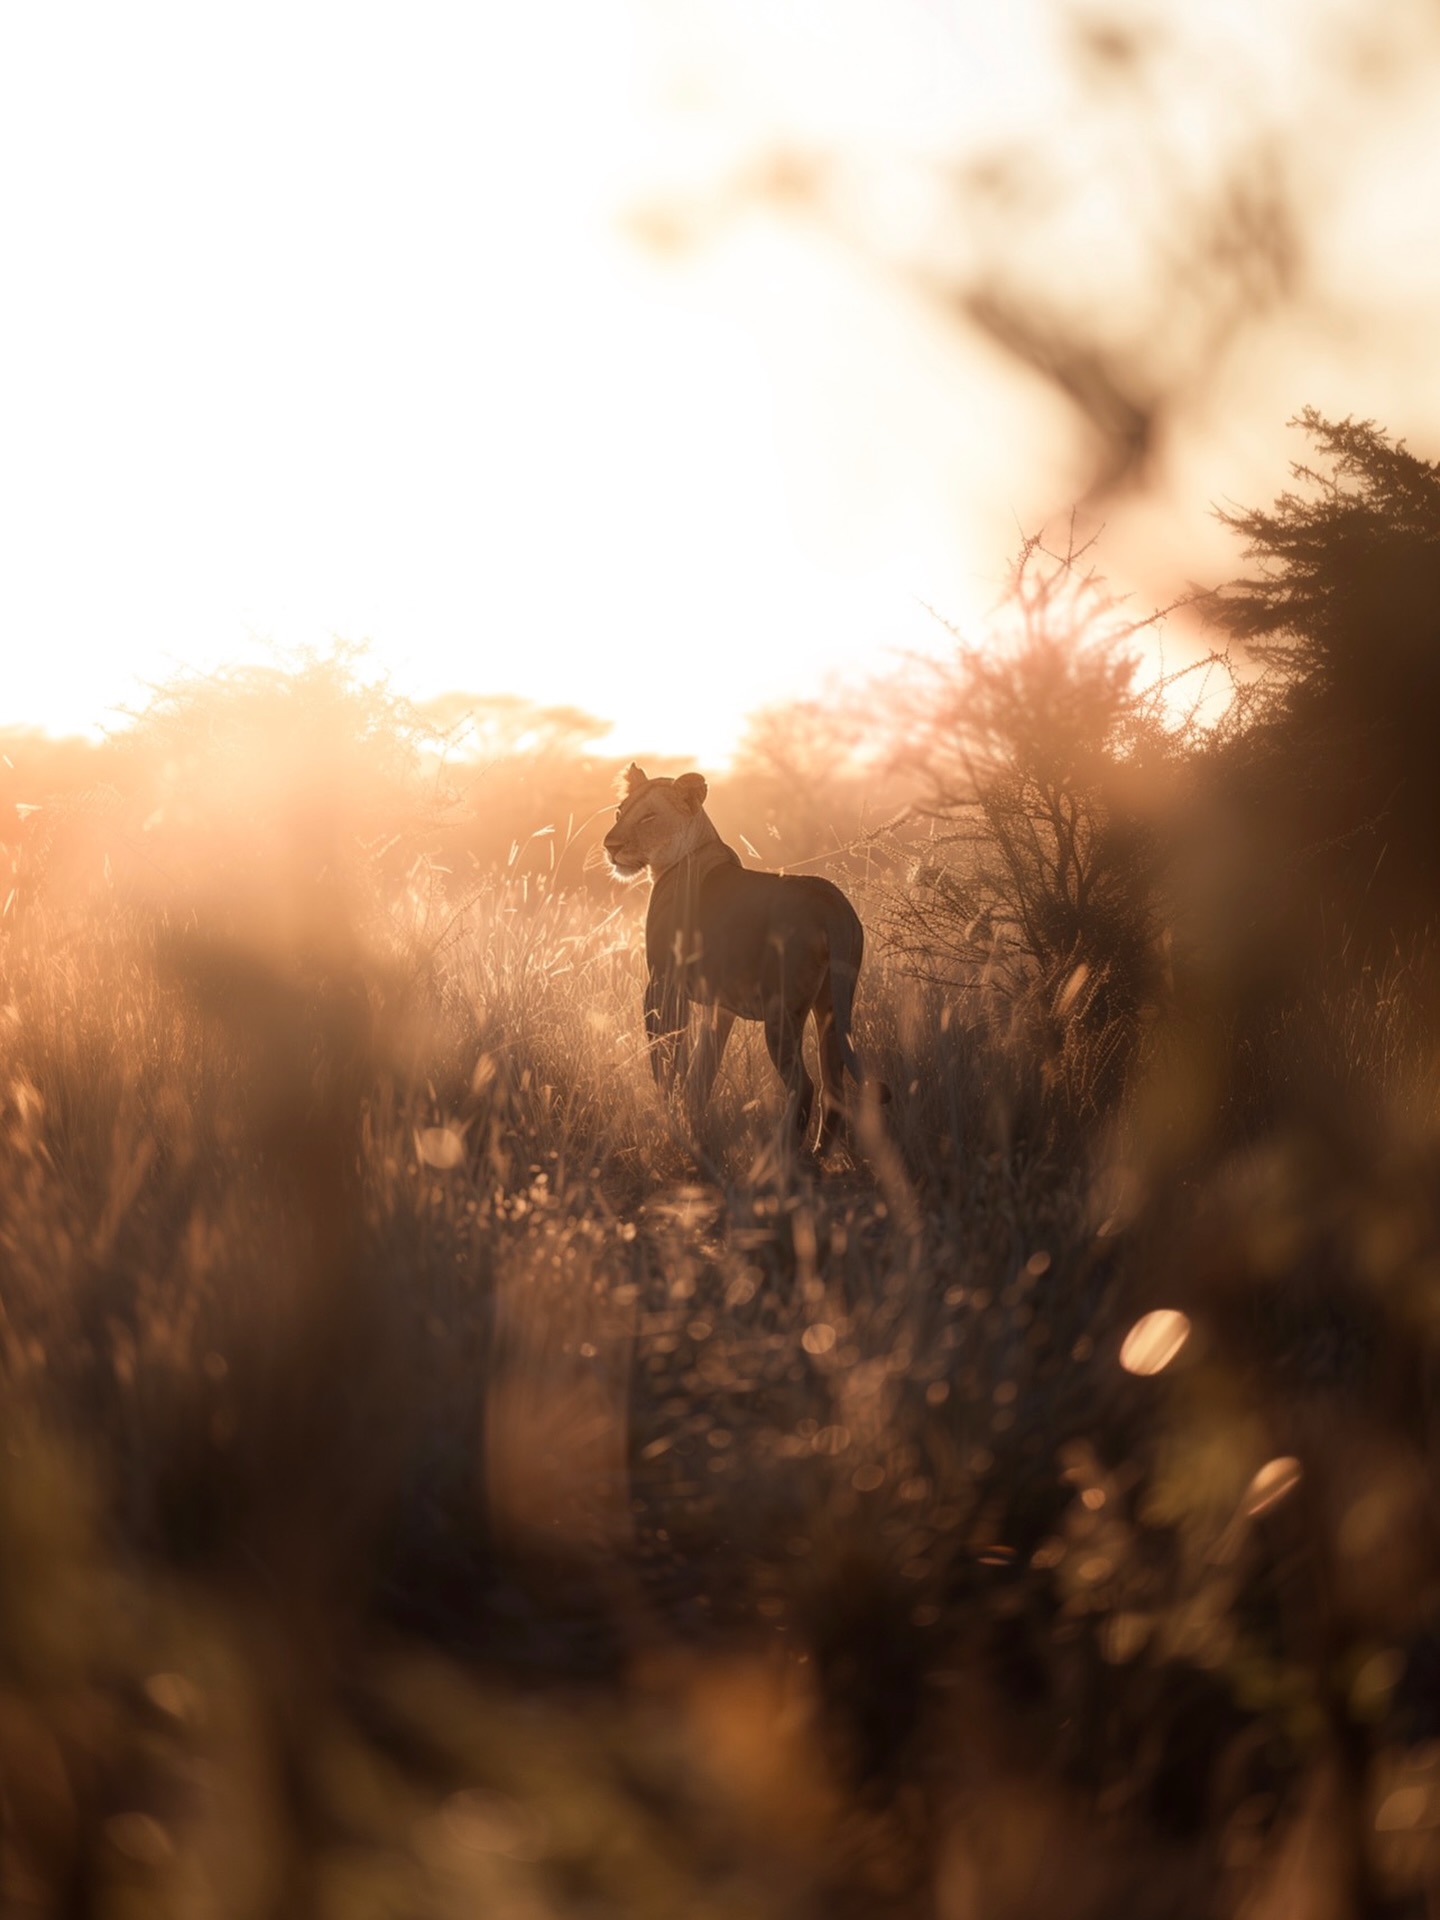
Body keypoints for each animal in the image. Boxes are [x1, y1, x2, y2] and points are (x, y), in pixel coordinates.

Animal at [603, 762, 878, 1153]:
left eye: (648, 818)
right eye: (619, 812)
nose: (610, 846)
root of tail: (832, 902)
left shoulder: (662, 984)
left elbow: (666, 1062)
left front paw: (667, 1125)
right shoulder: (720, 1006)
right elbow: (702, 1071)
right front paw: (696, 1127)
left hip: (782, 1010)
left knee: (803, 1085)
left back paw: (786, 1154)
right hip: (833, 1005)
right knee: (833, 1083)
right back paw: (819, 1155)